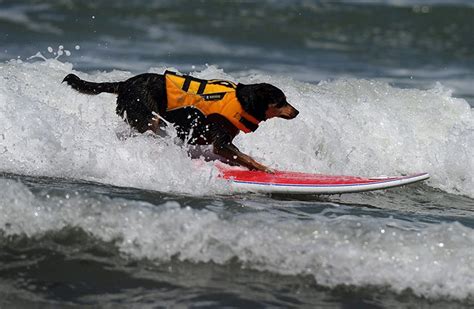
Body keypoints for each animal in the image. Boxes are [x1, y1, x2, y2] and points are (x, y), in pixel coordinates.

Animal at [63, 70, 298, 171]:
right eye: (282, 101)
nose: (296, 112)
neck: (243, 101)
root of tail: (124, 83)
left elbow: (238, 156)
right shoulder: (220, 143)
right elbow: (246, 157)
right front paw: (265, 169)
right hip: (146, 117)